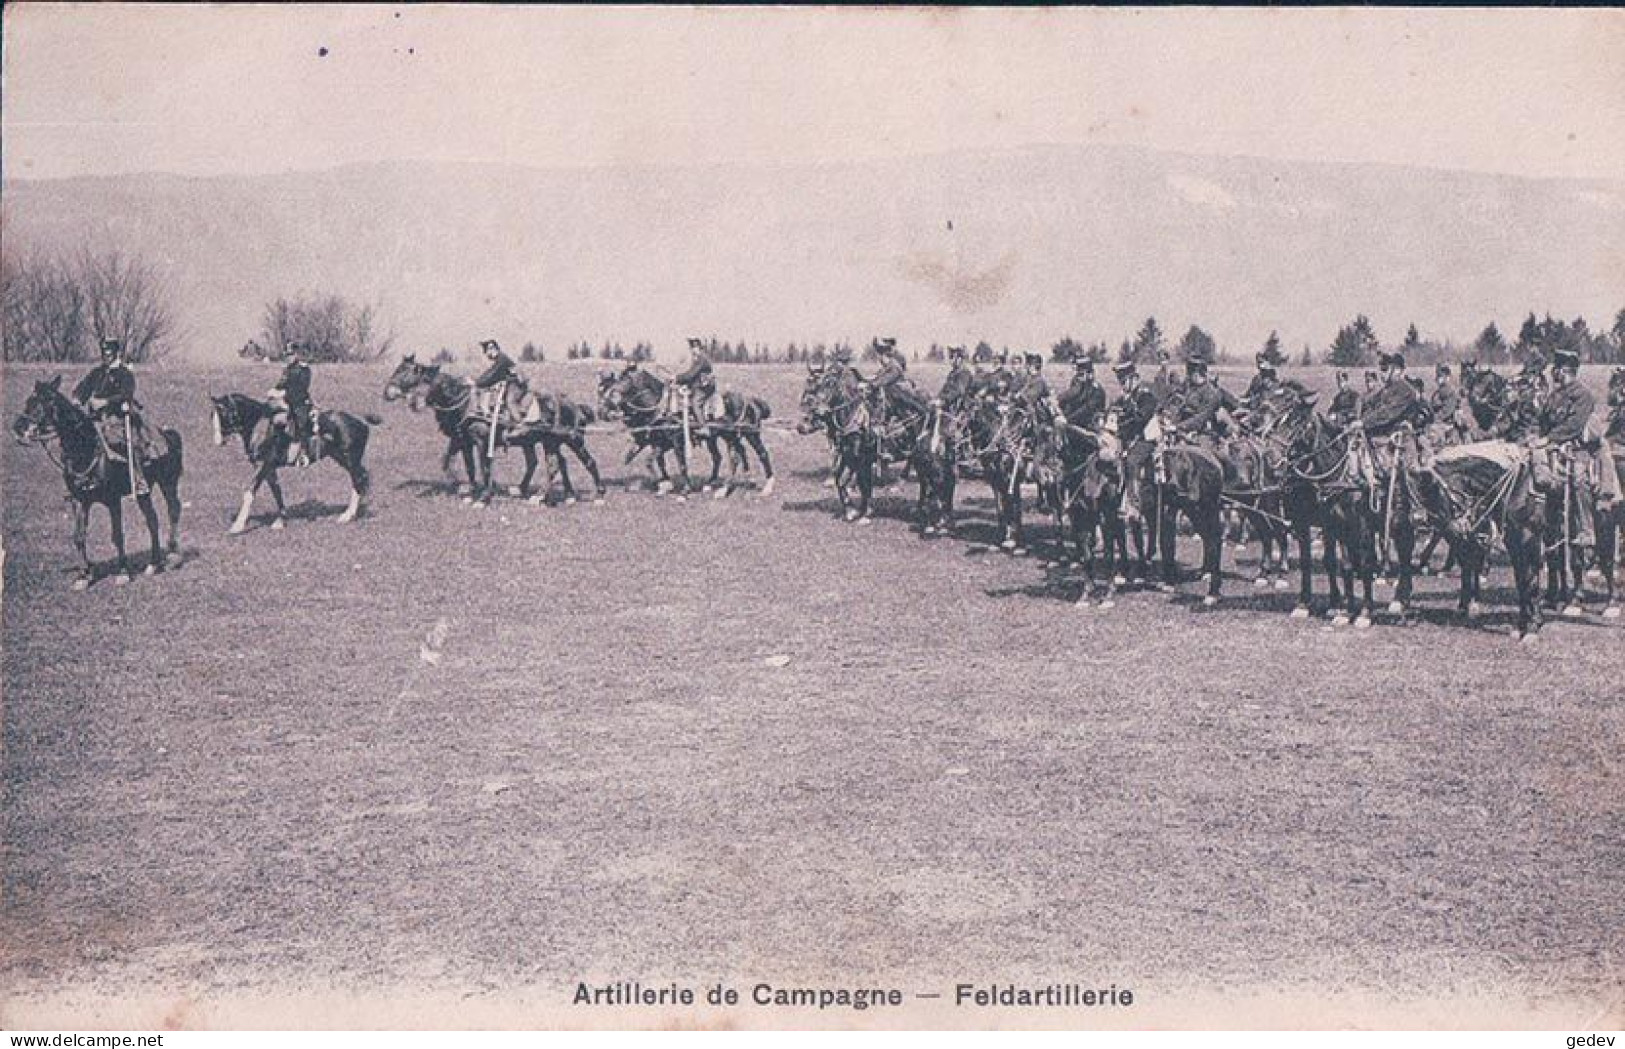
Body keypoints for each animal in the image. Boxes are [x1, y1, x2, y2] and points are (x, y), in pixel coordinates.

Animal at [13, 378, 184, 591]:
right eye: (28, 401)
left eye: (39, 404)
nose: (17, 427)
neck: (84, 450)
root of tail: (167, 432)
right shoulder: (79, 500)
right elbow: (78, 537)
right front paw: (84, 576)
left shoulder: (113, 500)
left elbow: (117, 535)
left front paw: (122, 573)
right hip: (144, 493)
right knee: (152, 520)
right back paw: (153, 563)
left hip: (168, 483)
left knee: (173, 510)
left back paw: (172, 556)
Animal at [208, 392, 381, 535]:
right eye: (213, 416)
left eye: (224, 414)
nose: (218, 441)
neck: (264, 428)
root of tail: (360, 420)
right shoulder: (269, 469)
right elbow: (277, 492)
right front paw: (280, 521)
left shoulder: (264, 466)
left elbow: (250, 492)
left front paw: (237, 526)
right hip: (341, 458)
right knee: (360, 479)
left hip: (350, 459)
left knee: (359, 480)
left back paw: (347, 515)